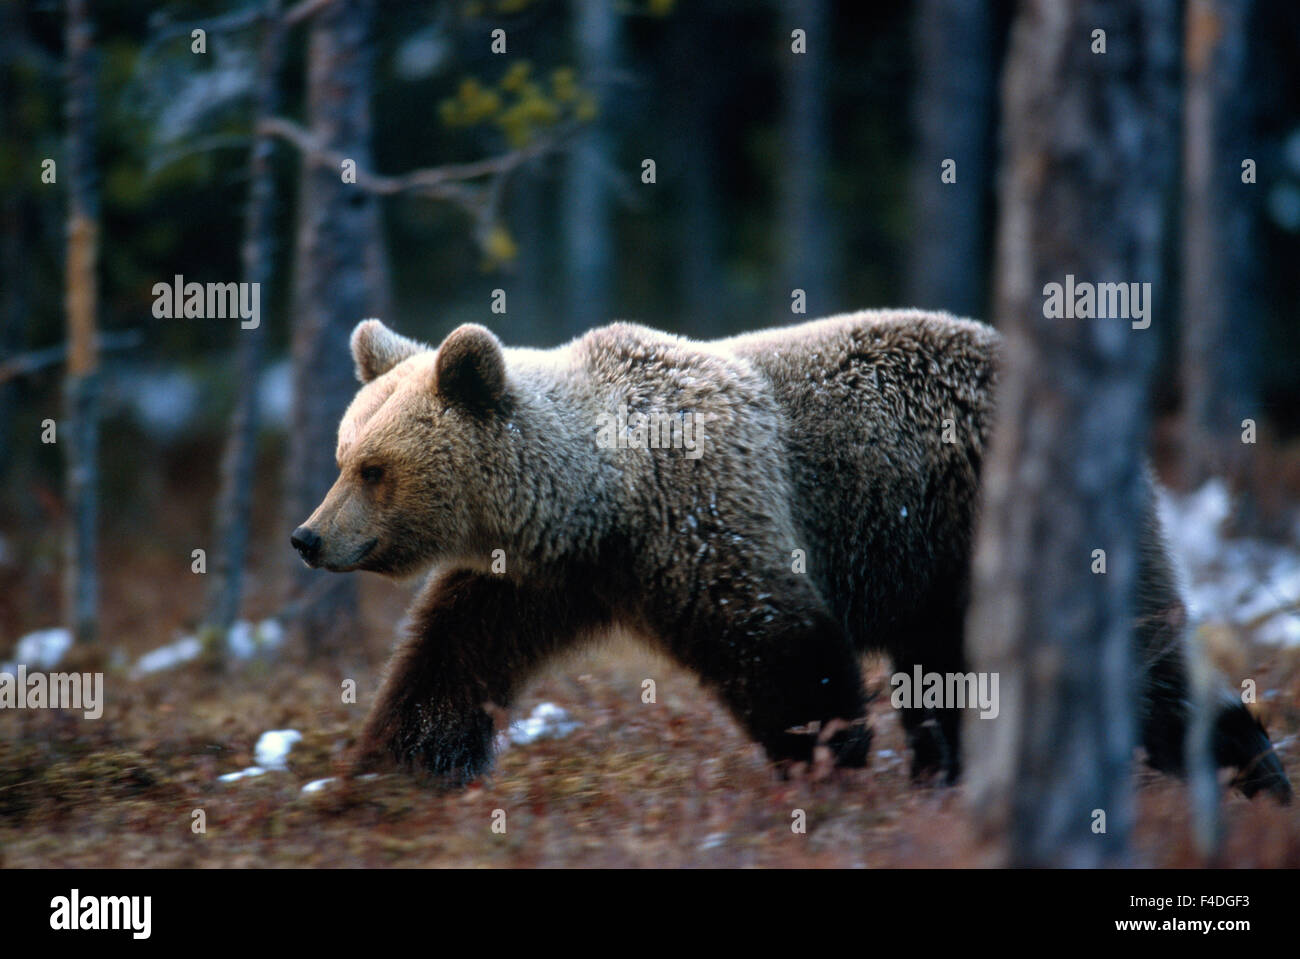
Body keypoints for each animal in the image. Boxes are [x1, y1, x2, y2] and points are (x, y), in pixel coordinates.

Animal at [290, 310, 1291, 801]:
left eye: (374, 467)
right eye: (341, 454)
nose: (307, 537)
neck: (598, 502)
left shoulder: (708, 514)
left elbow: (784, 650)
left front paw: (828, 771)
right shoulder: (536, 579)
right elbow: (446, 665)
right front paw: (380, 777)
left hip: (968, 518)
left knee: (1141, 659)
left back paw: (1250, 769)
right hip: (934, 566)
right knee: (950, 678)